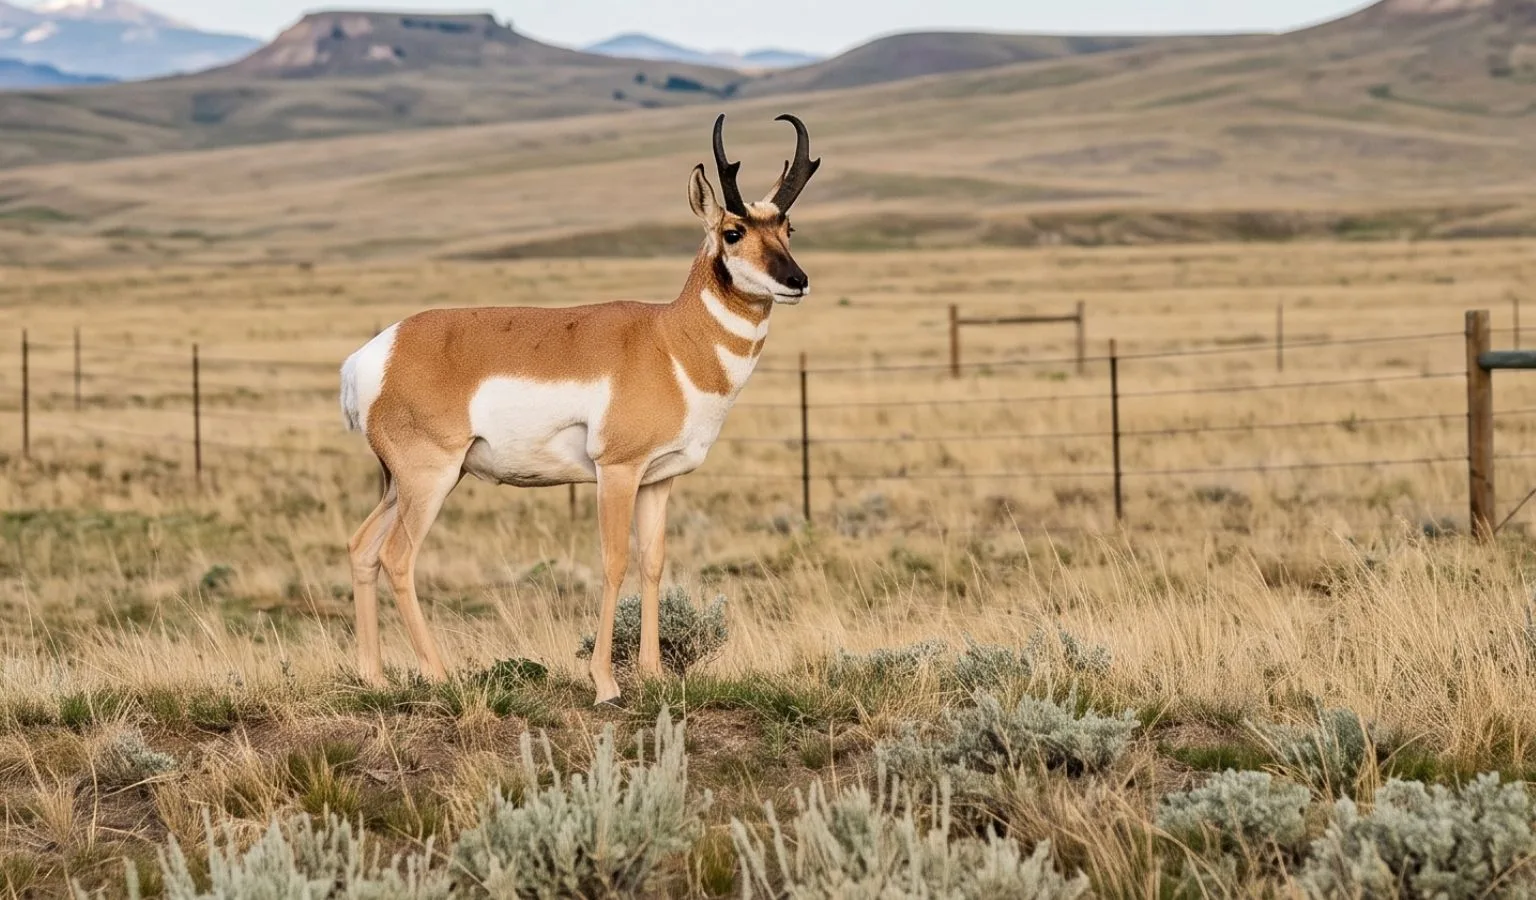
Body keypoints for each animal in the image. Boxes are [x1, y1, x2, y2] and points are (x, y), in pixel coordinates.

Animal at [339, 113, 820, 704]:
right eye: (734, 232)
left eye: (787, 228)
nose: (797, 280)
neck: (669, 340)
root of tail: (378, 351)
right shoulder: (616, 471)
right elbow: (614, 563)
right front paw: (606, 683)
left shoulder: (658, 479)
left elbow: (652, 563)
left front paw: (654, 674)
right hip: (429, 478)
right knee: (396, 557)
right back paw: (438, 674)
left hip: (402, 483)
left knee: (362, 547)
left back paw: (375, 677)